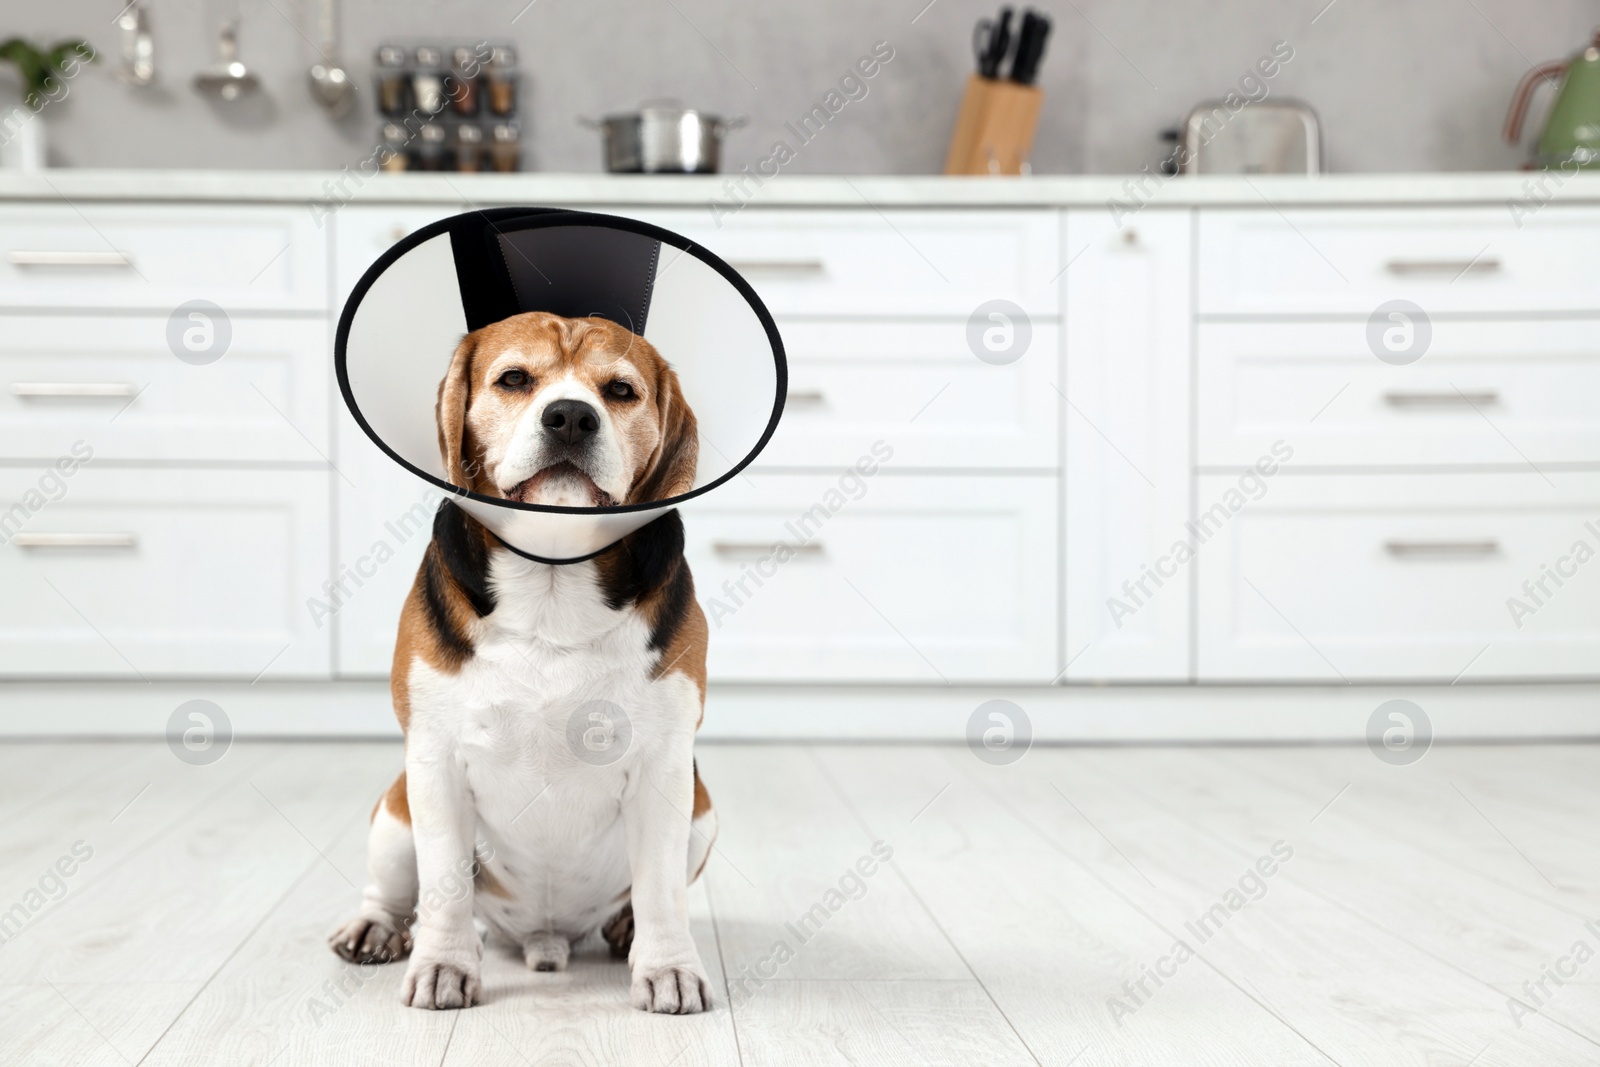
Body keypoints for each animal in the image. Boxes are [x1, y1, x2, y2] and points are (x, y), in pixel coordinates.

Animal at [328, 310, 716, 1017]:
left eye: (620, 391)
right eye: (513, 379)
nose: (570, 417)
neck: (553, 576)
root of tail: (545, 935)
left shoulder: (666, 768)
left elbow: (661, 890)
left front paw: (669, 968)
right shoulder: (436, 763)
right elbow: (445, 885)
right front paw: (444, 966)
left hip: (703, 811)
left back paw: (624, 930)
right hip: (396, 812)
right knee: (395, 889)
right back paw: (374, 927)